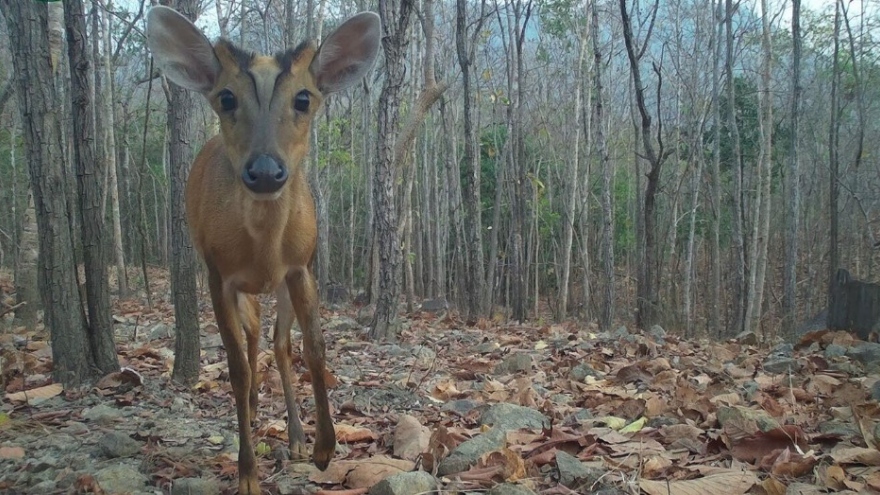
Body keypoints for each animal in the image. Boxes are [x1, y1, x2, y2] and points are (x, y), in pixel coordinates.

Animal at [147, 6, 382, 492]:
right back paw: (256, 409)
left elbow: (314, 348)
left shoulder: (301, 267)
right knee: (252, 339)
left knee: (276, 342)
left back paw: (294, 438)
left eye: (304, 98)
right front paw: (247, 474)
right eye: (226, 98)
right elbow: (235, 368)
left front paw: (324, 448)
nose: (266, 171)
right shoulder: (217, 274)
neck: (264, 249)